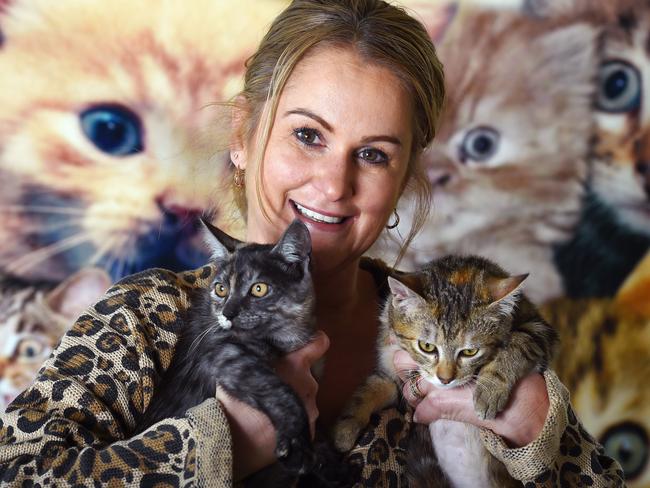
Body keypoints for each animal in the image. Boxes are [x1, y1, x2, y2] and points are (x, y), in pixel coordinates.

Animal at [137, 220, 316, 476]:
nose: (227, 313)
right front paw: (297, 442)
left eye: (259, 289)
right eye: (221, 289)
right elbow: (277, 389)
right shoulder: (225, 354)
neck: (281, 334)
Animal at [334, 255, 556, 488]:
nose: (445, 378)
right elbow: (372, 388)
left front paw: (490, 391)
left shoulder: (540, 330)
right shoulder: (392, 369)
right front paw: (344, 430)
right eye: (427, 346)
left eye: (469, 351)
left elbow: (520, 342)